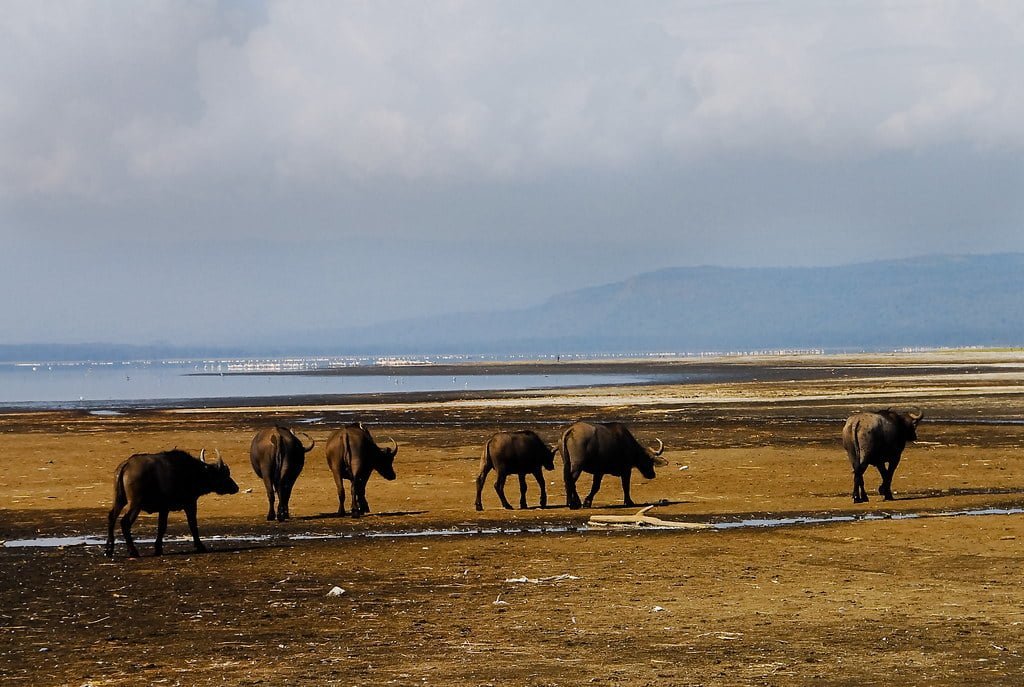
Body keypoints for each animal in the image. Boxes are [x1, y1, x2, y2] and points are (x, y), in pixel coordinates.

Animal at [104, 450, 238, 556]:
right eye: (224, 474)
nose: (236, 487)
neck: (193, 472)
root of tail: (127, 464)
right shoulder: (188, 504)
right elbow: (192, 525)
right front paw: (200, 546)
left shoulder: (164, 509)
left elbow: (161, 527)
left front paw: (158, 549)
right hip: (135, 504)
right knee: (125, 522)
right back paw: (133, 551)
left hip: (119, 500)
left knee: (111, 518)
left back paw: (108, 550)